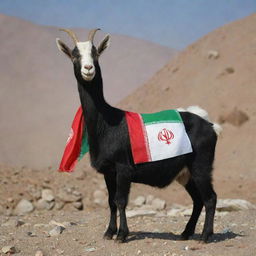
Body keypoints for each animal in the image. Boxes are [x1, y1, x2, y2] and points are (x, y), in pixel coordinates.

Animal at [56, 29, 220, 243]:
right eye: (75, 55)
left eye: (96, 53)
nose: (88, 68)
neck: (108, 122)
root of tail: (210, 125)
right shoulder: (109, 172)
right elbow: (111, 202)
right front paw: (109, 232)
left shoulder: (123, 168)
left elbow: (121, 200)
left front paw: (121, 235)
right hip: (185, 173)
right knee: (198, 199)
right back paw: (186, 233)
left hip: (201, 167)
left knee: (210, 198)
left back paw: (205, 235)